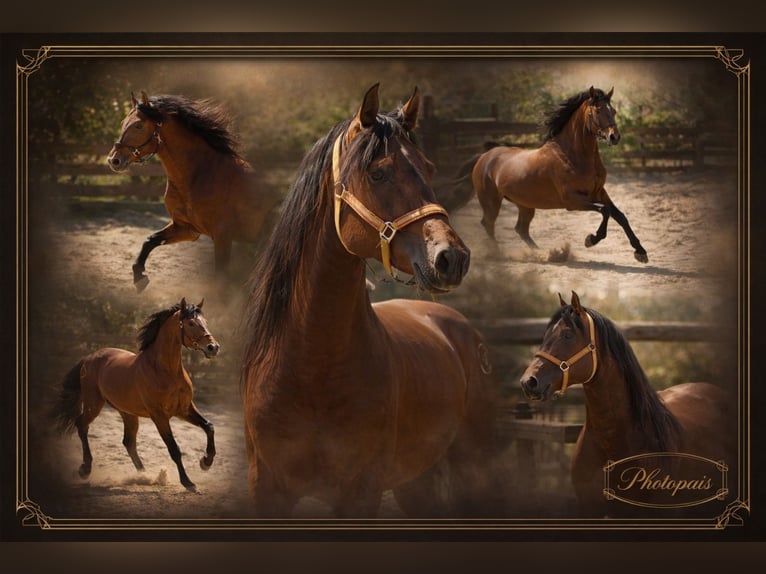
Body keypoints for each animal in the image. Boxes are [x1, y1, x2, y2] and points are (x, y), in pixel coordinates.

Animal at [53, 299, 220, 492]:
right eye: (191, 323)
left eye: (205, 322)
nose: (213, 347)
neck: (166, 371)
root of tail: (89, 357)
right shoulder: (159, 416)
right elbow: (174, 449)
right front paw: (188, 482)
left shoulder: (184, 409)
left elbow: (209, 426)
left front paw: (206, 462)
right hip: (93, 404)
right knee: (81, 424)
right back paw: (85, 470)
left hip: (127, 412)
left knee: (128, 442)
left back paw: (144, 475)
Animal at [106, 92, 282, 291]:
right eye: (123, 122)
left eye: (138, 125)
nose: (114, 160)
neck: (198, 175)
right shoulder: (186, 229)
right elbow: (150, 240)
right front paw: (139, 277)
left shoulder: (222, 236)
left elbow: (220, 278)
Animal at [240, 83, 502, 518]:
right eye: (377, 172)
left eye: (429, 168)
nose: (452, 258)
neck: (313, 366)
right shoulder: (267, 490)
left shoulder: (361, 491)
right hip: (417, 482)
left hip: (474, 467)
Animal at [470, 87, 649, 263]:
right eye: (598, 110)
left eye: (613, 110)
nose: (614, 137)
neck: (572, 155)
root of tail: (484, 157)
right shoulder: (572, 200)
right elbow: (605, 211)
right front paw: (591, 239)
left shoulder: (599, 193)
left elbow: (620, 215)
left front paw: (640, 252)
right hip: (491, 202)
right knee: (488, 224)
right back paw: (498, 254)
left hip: (525, 204)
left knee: (520, 229)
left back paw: (542, 253)